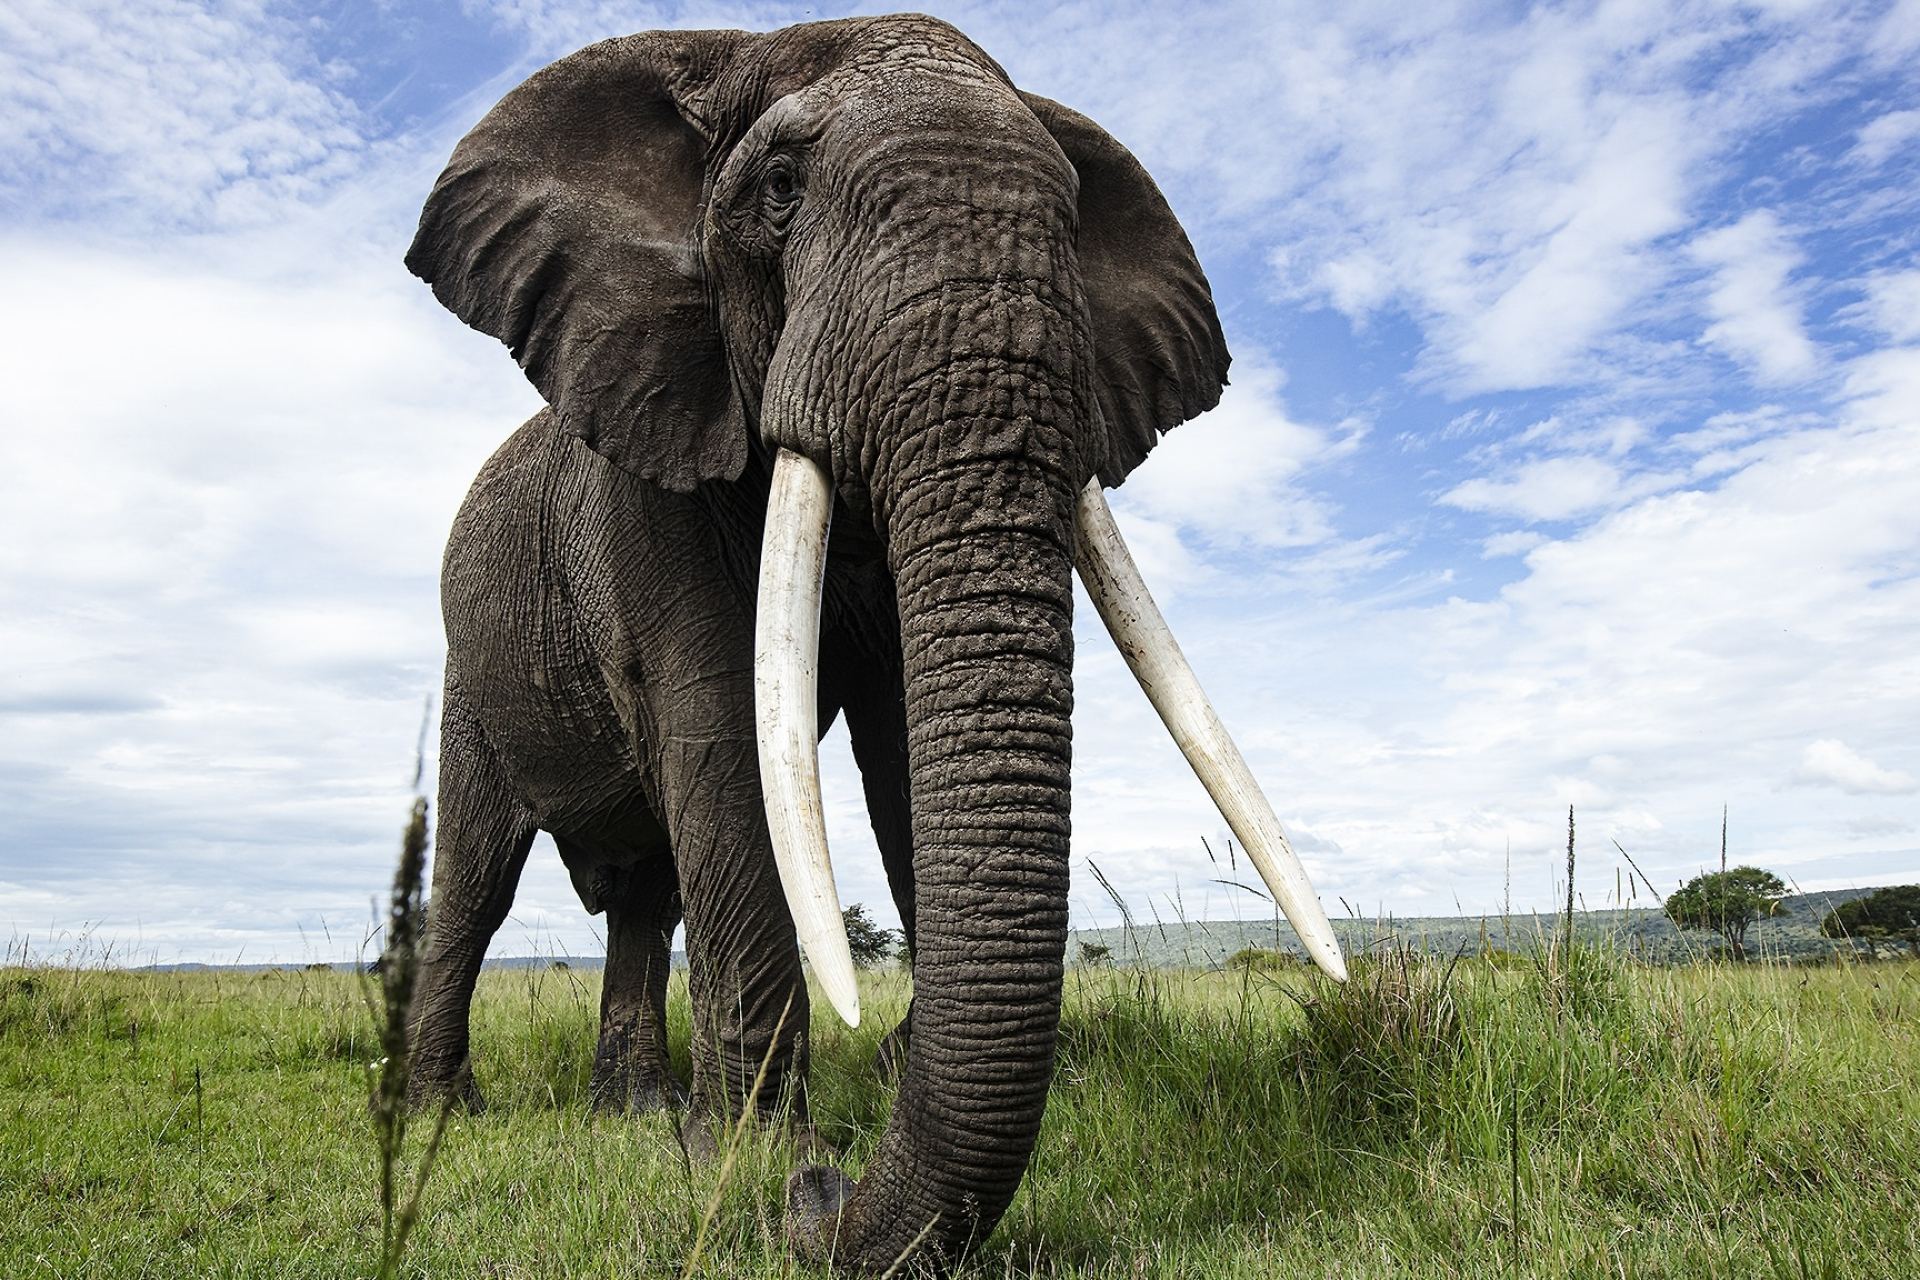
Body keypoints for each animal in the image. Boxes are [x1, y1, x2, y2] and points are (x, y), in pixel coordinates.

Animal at [399, 12, 1344, 1274]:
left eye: (1069, 216)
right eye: (781, 191)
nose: (824, 1192)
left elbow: (903, 746)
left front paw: (778, 1131)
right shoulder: (646, 477)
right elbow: (727, 742)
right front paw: (753, 1159)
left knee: (645, 894)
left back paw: (634, 1115)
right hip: (471, 661)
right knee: (475, 878)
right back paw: (444, 1112)